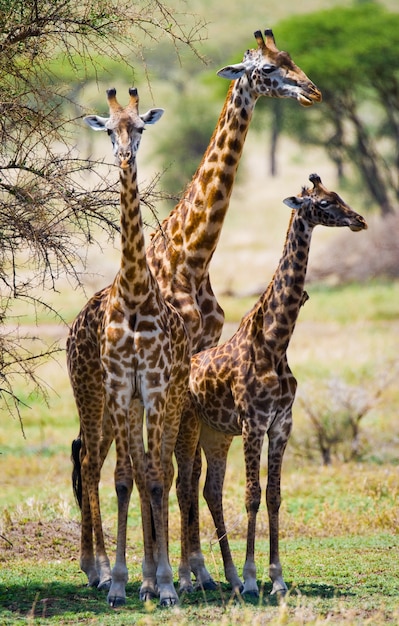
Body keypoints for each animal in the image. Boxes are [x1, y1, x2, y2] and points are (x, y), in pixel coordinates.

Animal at [184, 174, 368, 596]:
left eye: (338, 196)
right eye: (324, 202)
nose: (360, 220)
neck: (275, 342)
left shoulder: (281, 424)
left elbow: (274, 497)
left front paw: (276, 578)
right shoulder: (254, 423)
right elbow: (251, 496)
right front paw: (254, 579)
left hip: (216, 434)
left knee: (207, 490)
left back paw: (222, 576)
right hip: (186, 429)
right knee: (180, 486)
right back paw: (187, 578)